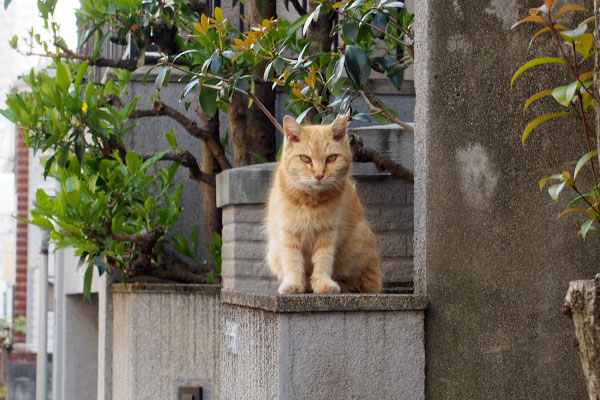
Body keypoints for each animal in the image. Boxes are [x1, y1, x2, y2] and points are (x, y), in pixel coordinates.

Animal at [266, 115, 382, 294]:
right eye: (305, 159)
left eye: (331, 158)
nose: (319, 175)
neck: (310, 201)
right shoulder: (288, 232)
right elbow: (292, 260)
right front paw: (293, 283)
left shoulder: (327, 233)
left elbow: (323, 259)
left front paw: (322, 283)